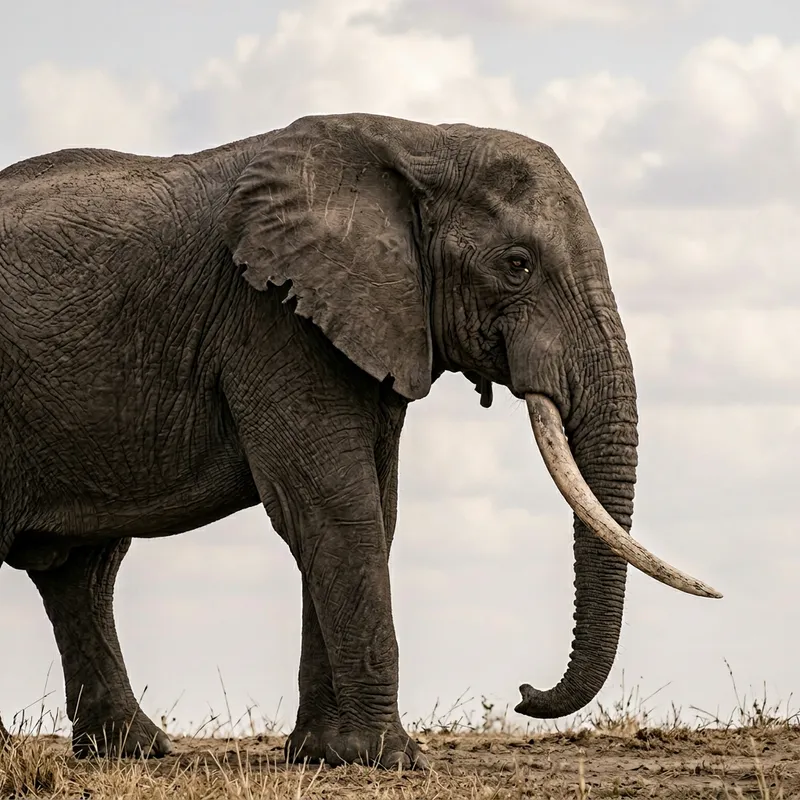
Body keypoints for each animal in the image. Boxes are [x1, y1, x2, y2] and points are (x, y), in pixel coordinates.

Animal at [0, 113, 720, 768]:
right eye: (516, 265)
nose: (523, 692)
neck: (417, 139)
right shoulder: (270, 318)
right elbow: (334, 507)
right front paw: (392, 758)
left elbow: (374, 507)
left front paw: (327, 755)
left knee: (84, 572)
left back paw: (133, 750)